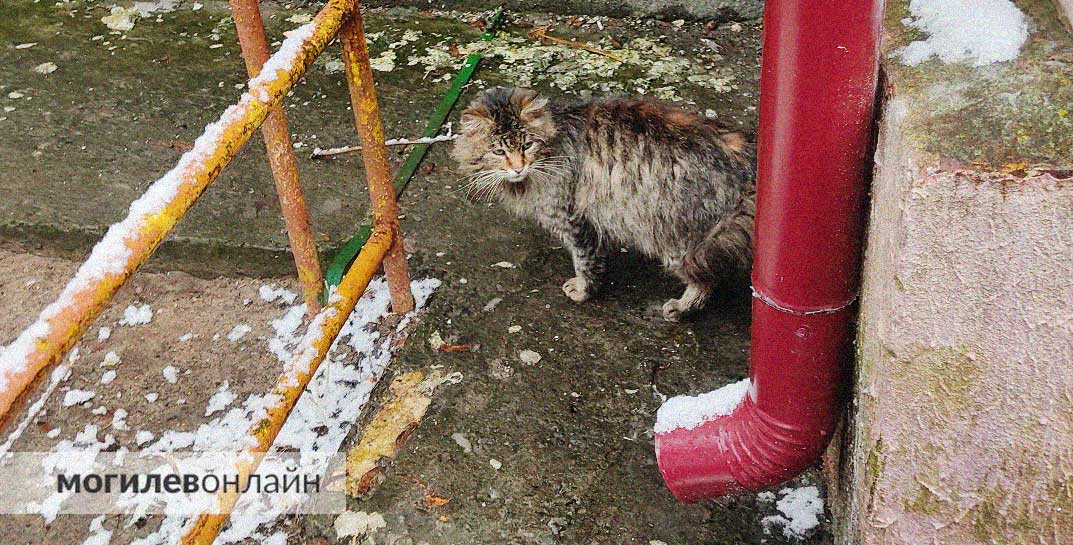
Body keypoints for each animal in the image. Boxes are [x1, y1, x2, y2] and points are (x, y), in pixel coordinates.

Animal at [452, 87, 755, 321]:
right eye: (498, 151)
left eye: (527, 145)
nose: (517, 168)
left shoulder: (573, 219)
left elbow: (584, 261)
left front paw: (583, 290)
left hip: (679, 242)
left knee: (705, 281)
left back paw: (680, 309)